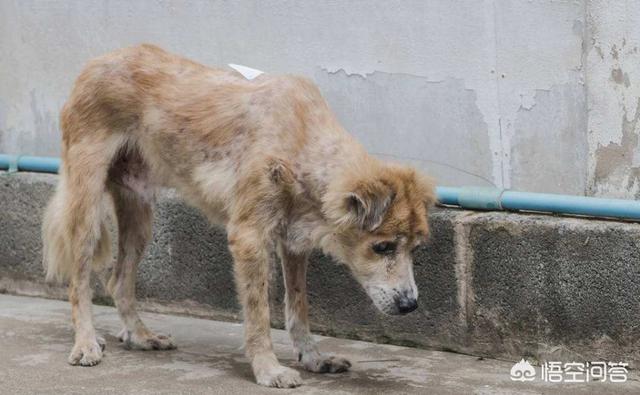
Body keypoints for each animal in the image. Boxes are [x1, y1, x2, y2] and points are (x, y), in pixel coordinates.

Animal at [42, 44, 438, 390]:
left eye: (415, 249)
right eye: (382, 247)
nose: (410, 305)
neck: (301, 143)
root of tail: (95, 62)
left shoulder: (293, 242)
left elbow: (298, 307)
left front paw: (312, 358)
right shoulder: (249, 238)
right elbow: (258, 313)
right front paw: (268, 369)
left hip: (139, 215)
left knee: (119, 281)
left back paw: (139, 335)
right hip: (87, 205)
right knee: (79, 282)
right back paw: (86, 343)